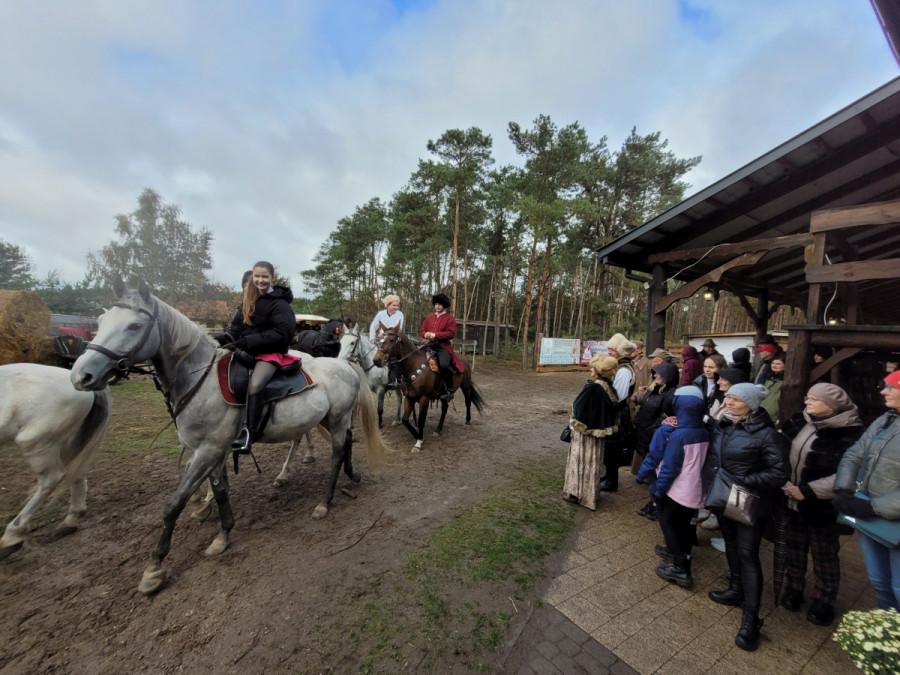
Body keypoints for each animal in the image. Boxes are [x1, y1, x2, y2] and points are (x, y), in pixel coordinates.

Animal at [70, 279, 388, 595]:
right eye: (100, 322)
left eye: (135, 326)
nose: (80, 376)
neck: (201, 381)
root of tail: (345, 366)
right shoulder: (214, 449)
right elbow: (220, 490)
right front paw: (223, 534)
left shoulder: (208, 450)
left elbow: (174, 503)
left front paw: (154, 569)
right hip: (330, 419)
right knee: (344, 443)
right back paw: (349, 475)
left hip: (337, 419)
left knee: (336, 454)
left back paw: (324, 502)